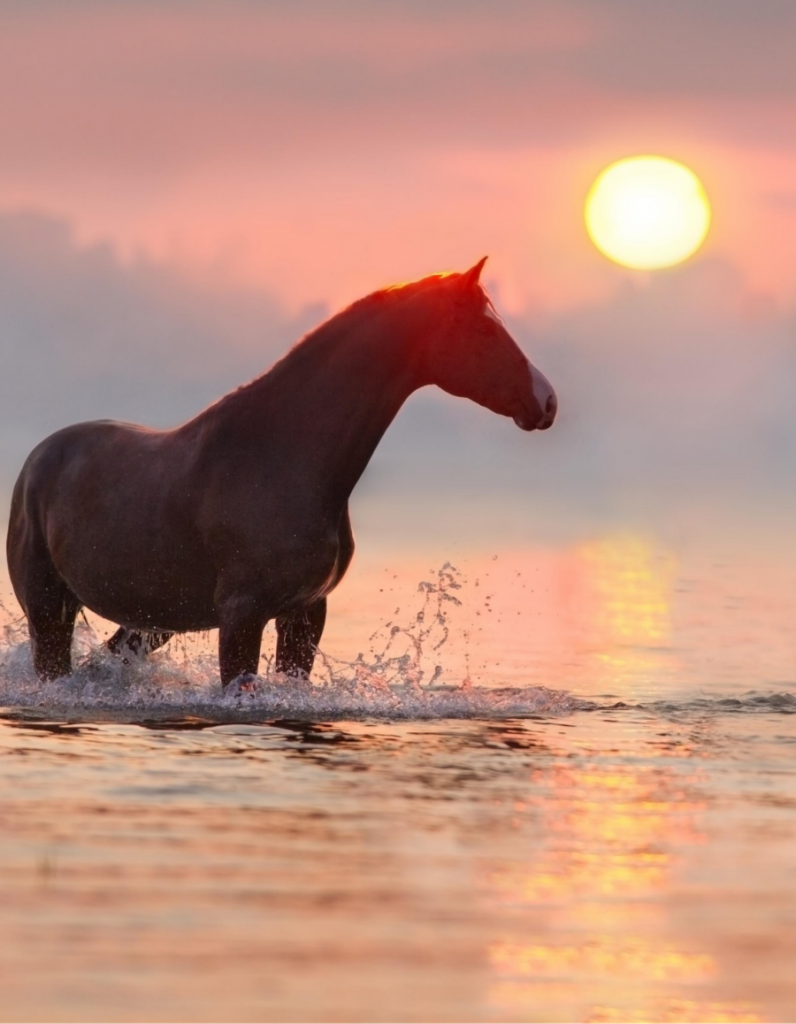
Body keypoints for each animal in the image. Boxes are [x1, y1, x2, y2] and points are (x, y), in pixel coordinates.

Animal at [6, 256, 557, 688]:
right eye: (484, 328)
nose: (547, 401)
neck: (284, 459)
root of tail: (38, 459)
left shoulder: (304, 613)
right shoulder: (242, 615)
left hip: (150, 620)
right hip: (49, 611)